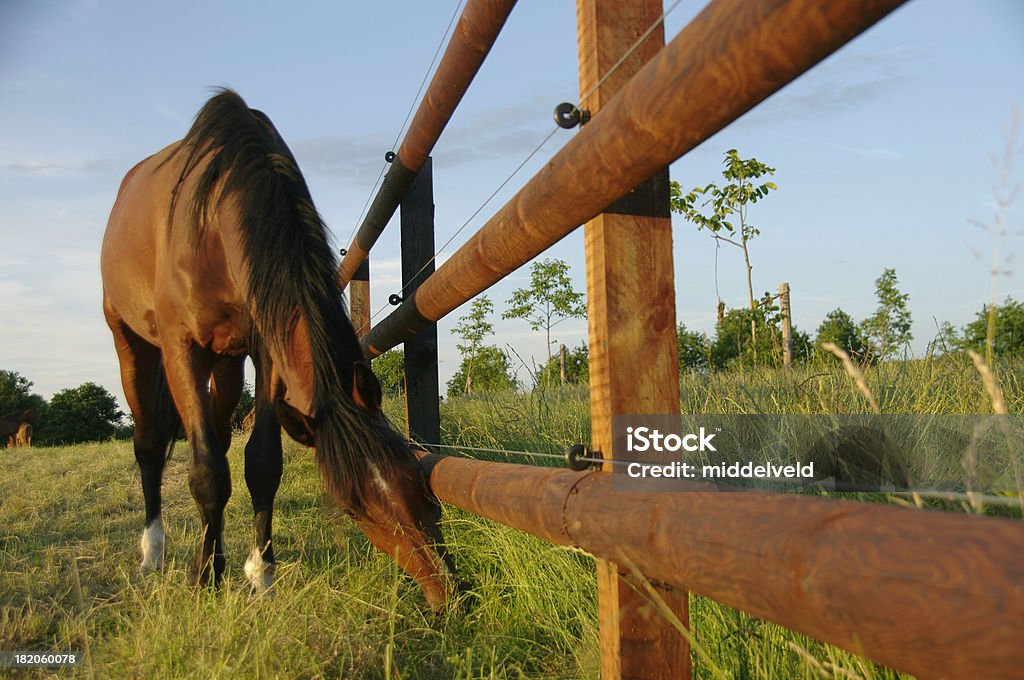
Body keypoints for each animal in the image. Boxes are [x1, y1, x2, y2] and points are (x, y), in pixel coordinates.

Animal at [101, 90, 454, 606]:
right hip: (131, 343)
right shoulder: (181, 348)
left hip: (226, 363)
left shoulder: (264, 350)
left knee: (220, 438)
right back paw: (153, 554)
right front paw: (203, 578)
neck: (214, 221)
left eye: (414, 478)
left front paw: (258, 574)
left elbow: (261, 463)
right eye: (354, 509)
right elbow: (206, 470)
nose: (448, 592)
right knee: (149, 444)